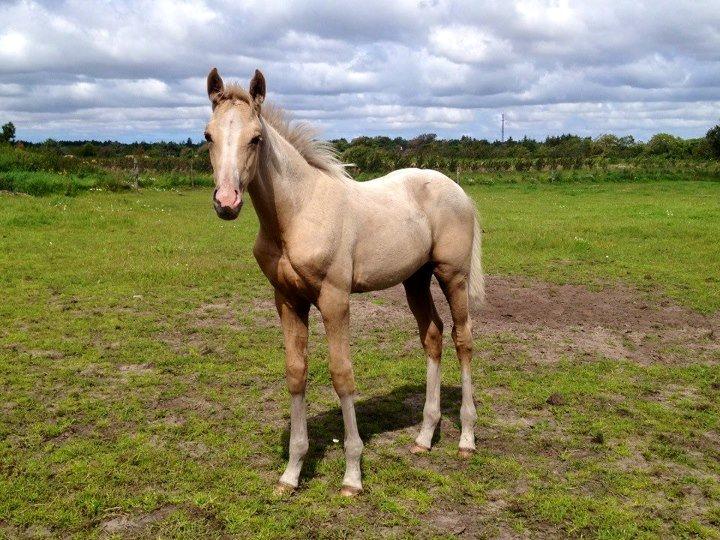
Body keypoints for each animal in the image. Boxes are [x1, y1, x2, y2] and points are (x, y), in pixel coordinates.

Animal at [202, 68, 484, 498]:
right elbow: (295, 372)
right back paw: (424, 436)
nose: (227, 202)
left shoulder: (335, 299)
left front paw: (352, 475)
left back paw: (466, 439)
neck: (298, 212)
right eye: (208, 136)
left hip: (452, 275)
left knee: (462, 339)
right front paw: (291, 473)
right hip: (415, 280)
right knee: (433, 336)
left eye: (256, 138)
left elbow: (342, 375)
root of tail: (458, 190)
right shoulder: (287, 300)